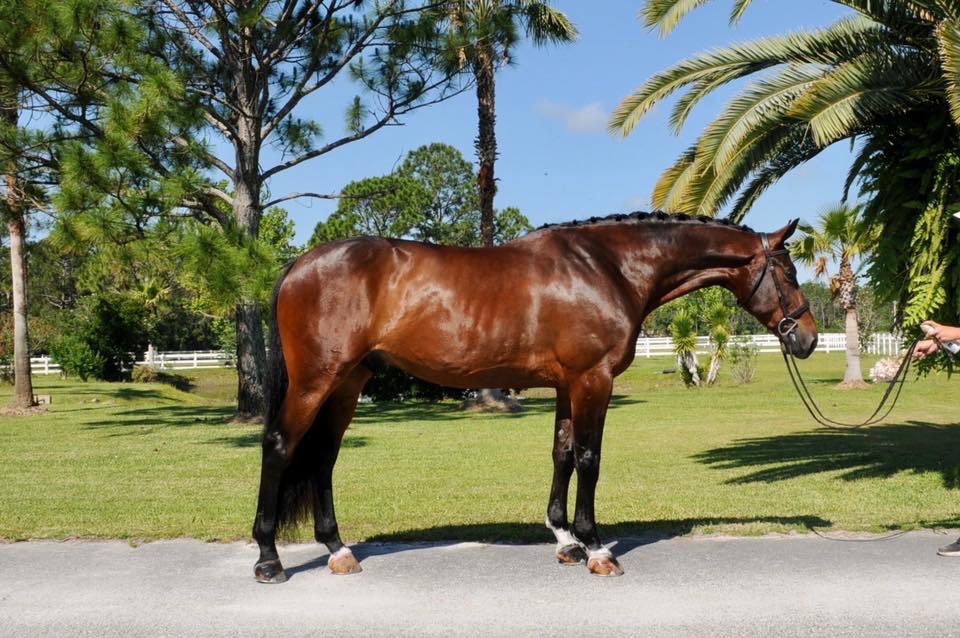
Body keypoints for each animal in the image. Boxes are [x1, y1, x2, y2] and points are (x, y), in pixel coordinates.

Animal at [251, 212, 817, 583]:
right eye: (789, 273)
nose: (807, 339)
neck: (607, 266)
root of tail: (298, 264)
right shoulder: (593, 380)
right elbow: (588, 458)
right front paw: (596, 548)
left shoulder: (568, 385)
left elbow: (562, 454)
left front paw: (565, 542)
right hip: (317, 380)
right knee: (280, 447)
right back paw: (269, 560)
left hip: (348, 383)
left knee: (323, 457)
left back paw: (338, 550)